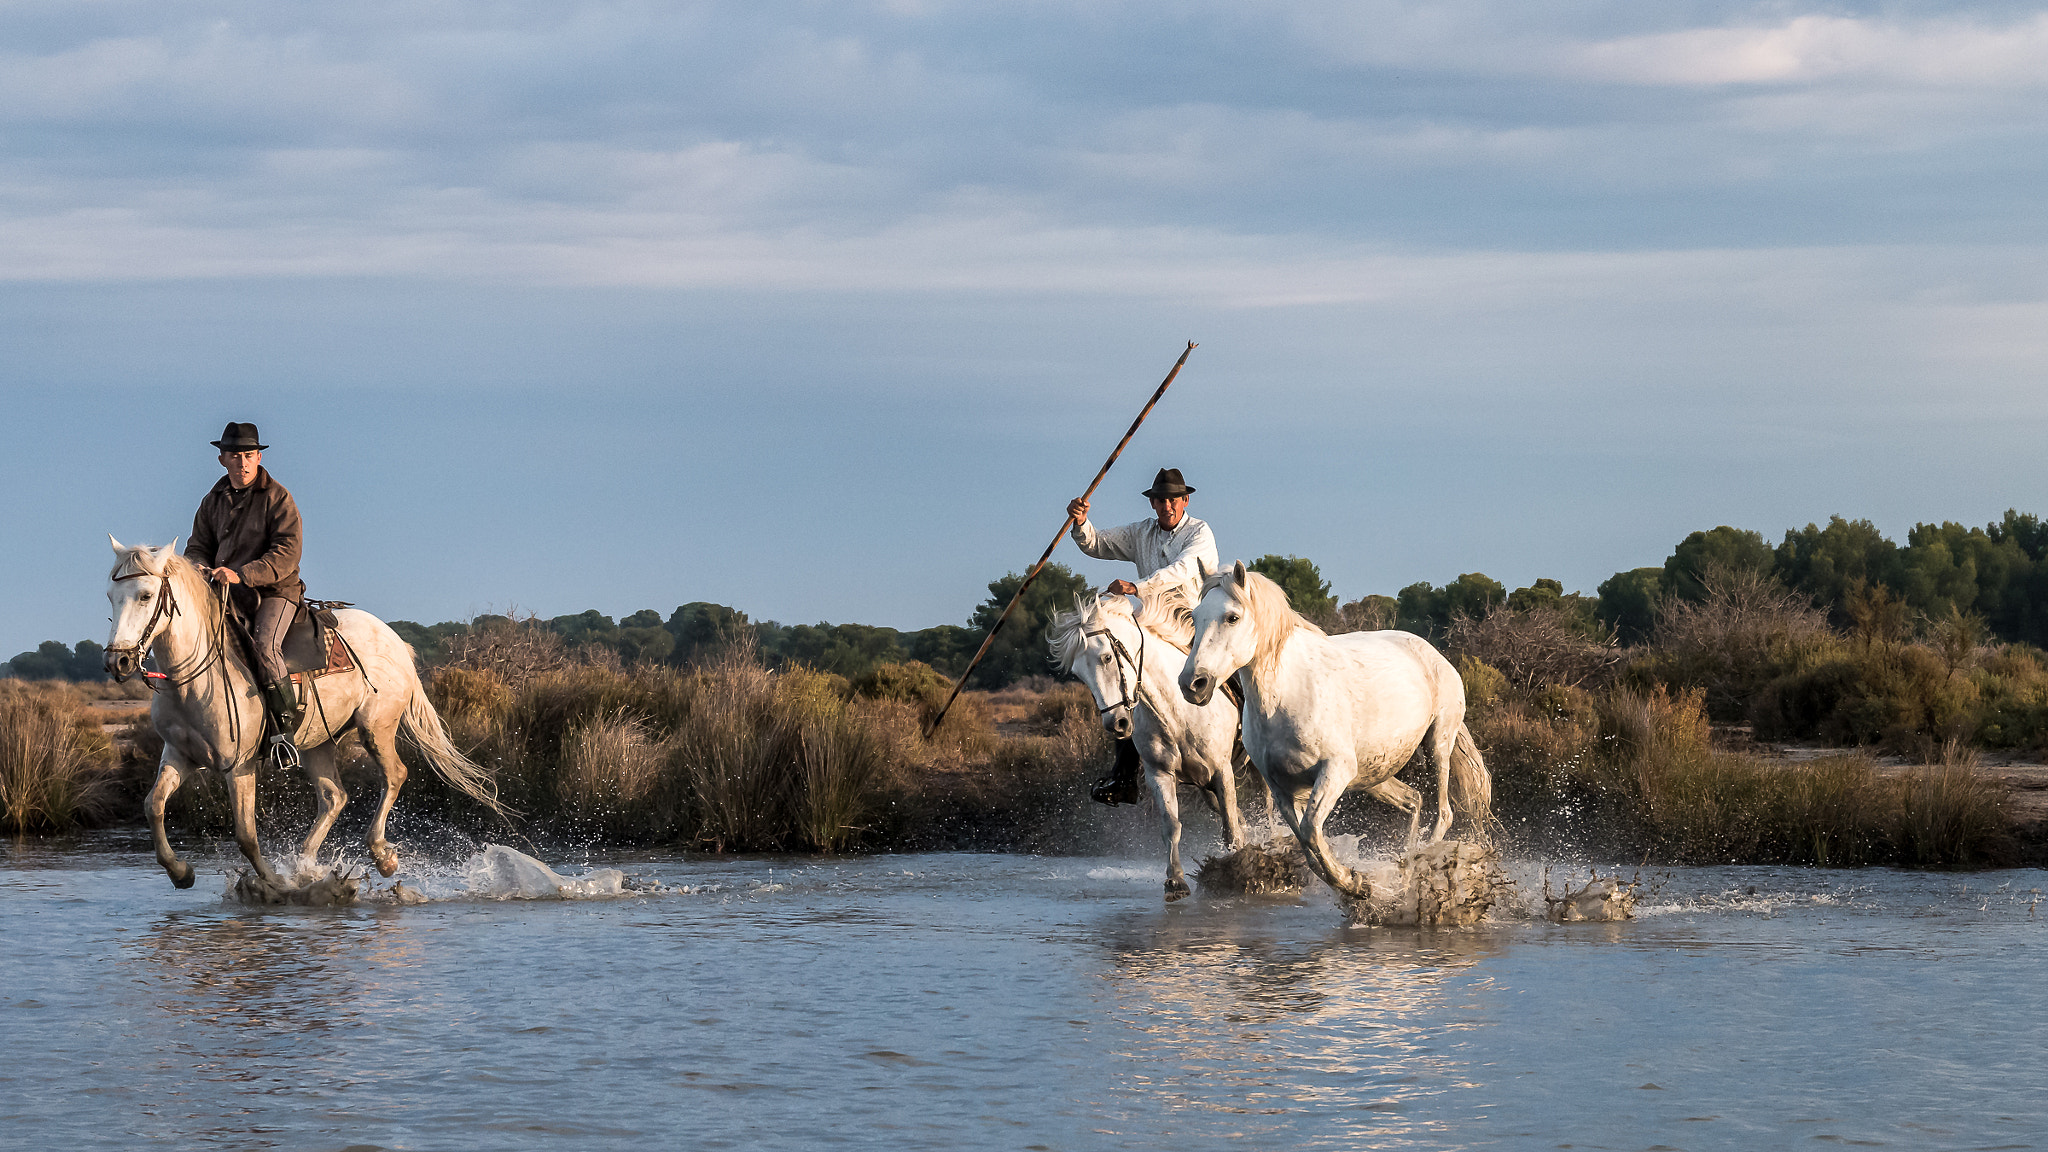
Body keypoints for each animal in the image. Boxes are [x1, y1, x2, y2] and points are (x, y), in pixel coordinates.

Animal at [105, 537, 501, 889]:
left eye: (145, 595)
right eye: (111, 596)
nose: (117, 662)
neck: (194, 678)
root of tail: (394, 640)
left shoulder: (239, 766)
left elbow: (245, 834)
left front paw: (275, 884)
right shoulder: (179, 754)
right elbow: (153, 805)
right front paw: (180, 872)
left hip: (376, 727)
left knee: (395, 775)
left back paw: (381, 856)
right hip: (317, 743)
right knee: (334, 796)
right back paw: (306, 867)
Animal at [1048, 590, 1253, 897]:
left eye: (1106, 657)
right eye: (1078, 674)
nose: (1117, 724)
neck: (1176, 713)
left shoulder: (1222, 771)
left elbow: (1229, 828)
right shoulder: (1160, 775)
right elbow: (1172, 825)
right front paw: (1176, 880)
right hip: (1204, 785)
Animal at [1179, 557, 1499, 897]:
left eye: (1232, 617)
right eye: (1195, 617)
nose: (1193, 684)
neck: (1288, 693)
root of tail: (1435, 654)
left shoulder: (1335, 770)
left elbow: (1310, 831)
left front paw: (1353, 883)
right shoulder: (1281, 787)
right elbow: (1306, 842)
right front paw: (1354, 882)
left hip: (1437, 745)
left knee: (1443, 813)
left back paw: (1417, 863)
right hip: (1374, 774)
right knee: (1413, 801)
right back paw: (1402, 869)